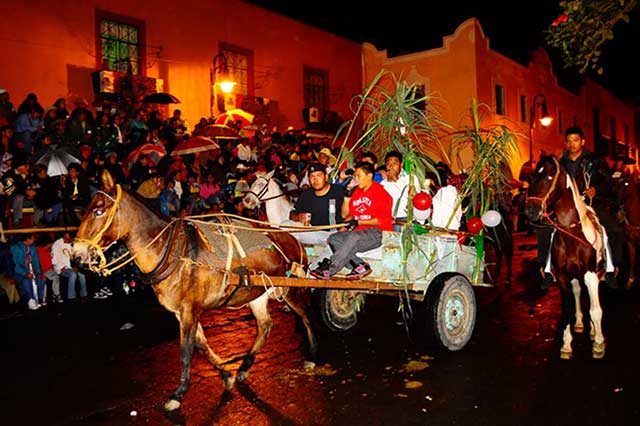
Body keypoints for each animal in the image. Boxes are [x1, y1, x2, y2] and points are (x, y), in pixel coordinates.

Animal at [72, 171, 318, 412]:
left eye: (98, 211)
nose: (76, 256)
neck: (171, 252)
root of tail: (292, 237)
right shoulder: (182, 312)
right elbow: (201, 346)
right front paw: (226, 375)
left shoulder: (190, 309)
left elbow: (186, 351)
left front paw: (178, 394)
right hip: (257, 292)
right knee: (265, 325)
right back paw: (245, 366)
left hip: (289, 288)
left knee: (305, 314)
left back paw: (313, 353)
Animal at [524, 155, 608, 358]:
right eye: (532, 176)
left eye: (549, 176)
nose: (530, 210)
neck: (572, 234)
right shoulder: (562, 276)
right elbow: (568, 310)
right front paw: (566, 345)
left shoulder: (591, 275)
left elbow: (596, 310)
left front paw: (599, 344)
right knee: (577, 292)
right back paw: (579, 324)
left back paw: (594, 331)